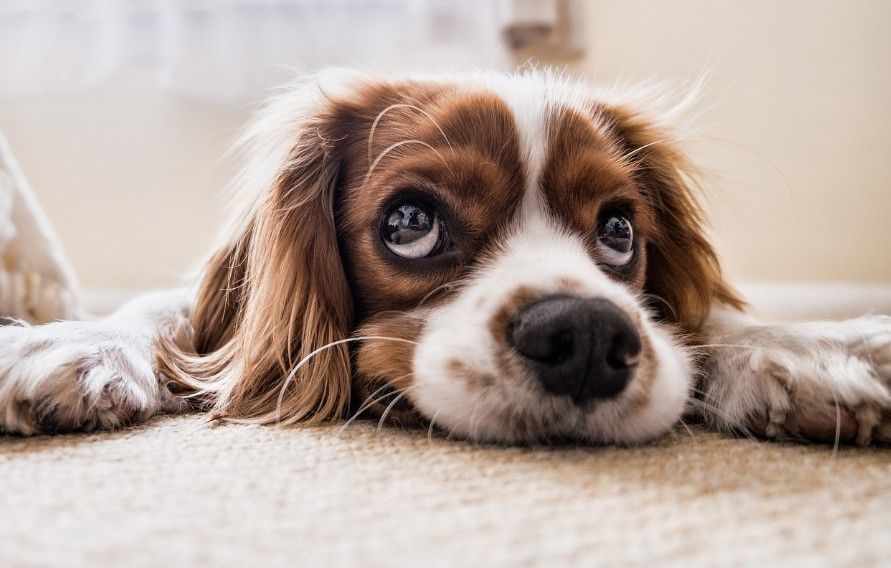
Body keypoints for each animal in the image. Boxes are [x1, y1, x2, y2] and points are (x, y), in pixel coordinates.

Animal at [1, 70, 891, 444]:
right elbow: (165, 311)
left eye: (618, 232)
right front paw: (70, 344)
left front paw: (810, 350)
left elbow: (709, 321)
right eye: (409, 222)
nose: (587, 336)